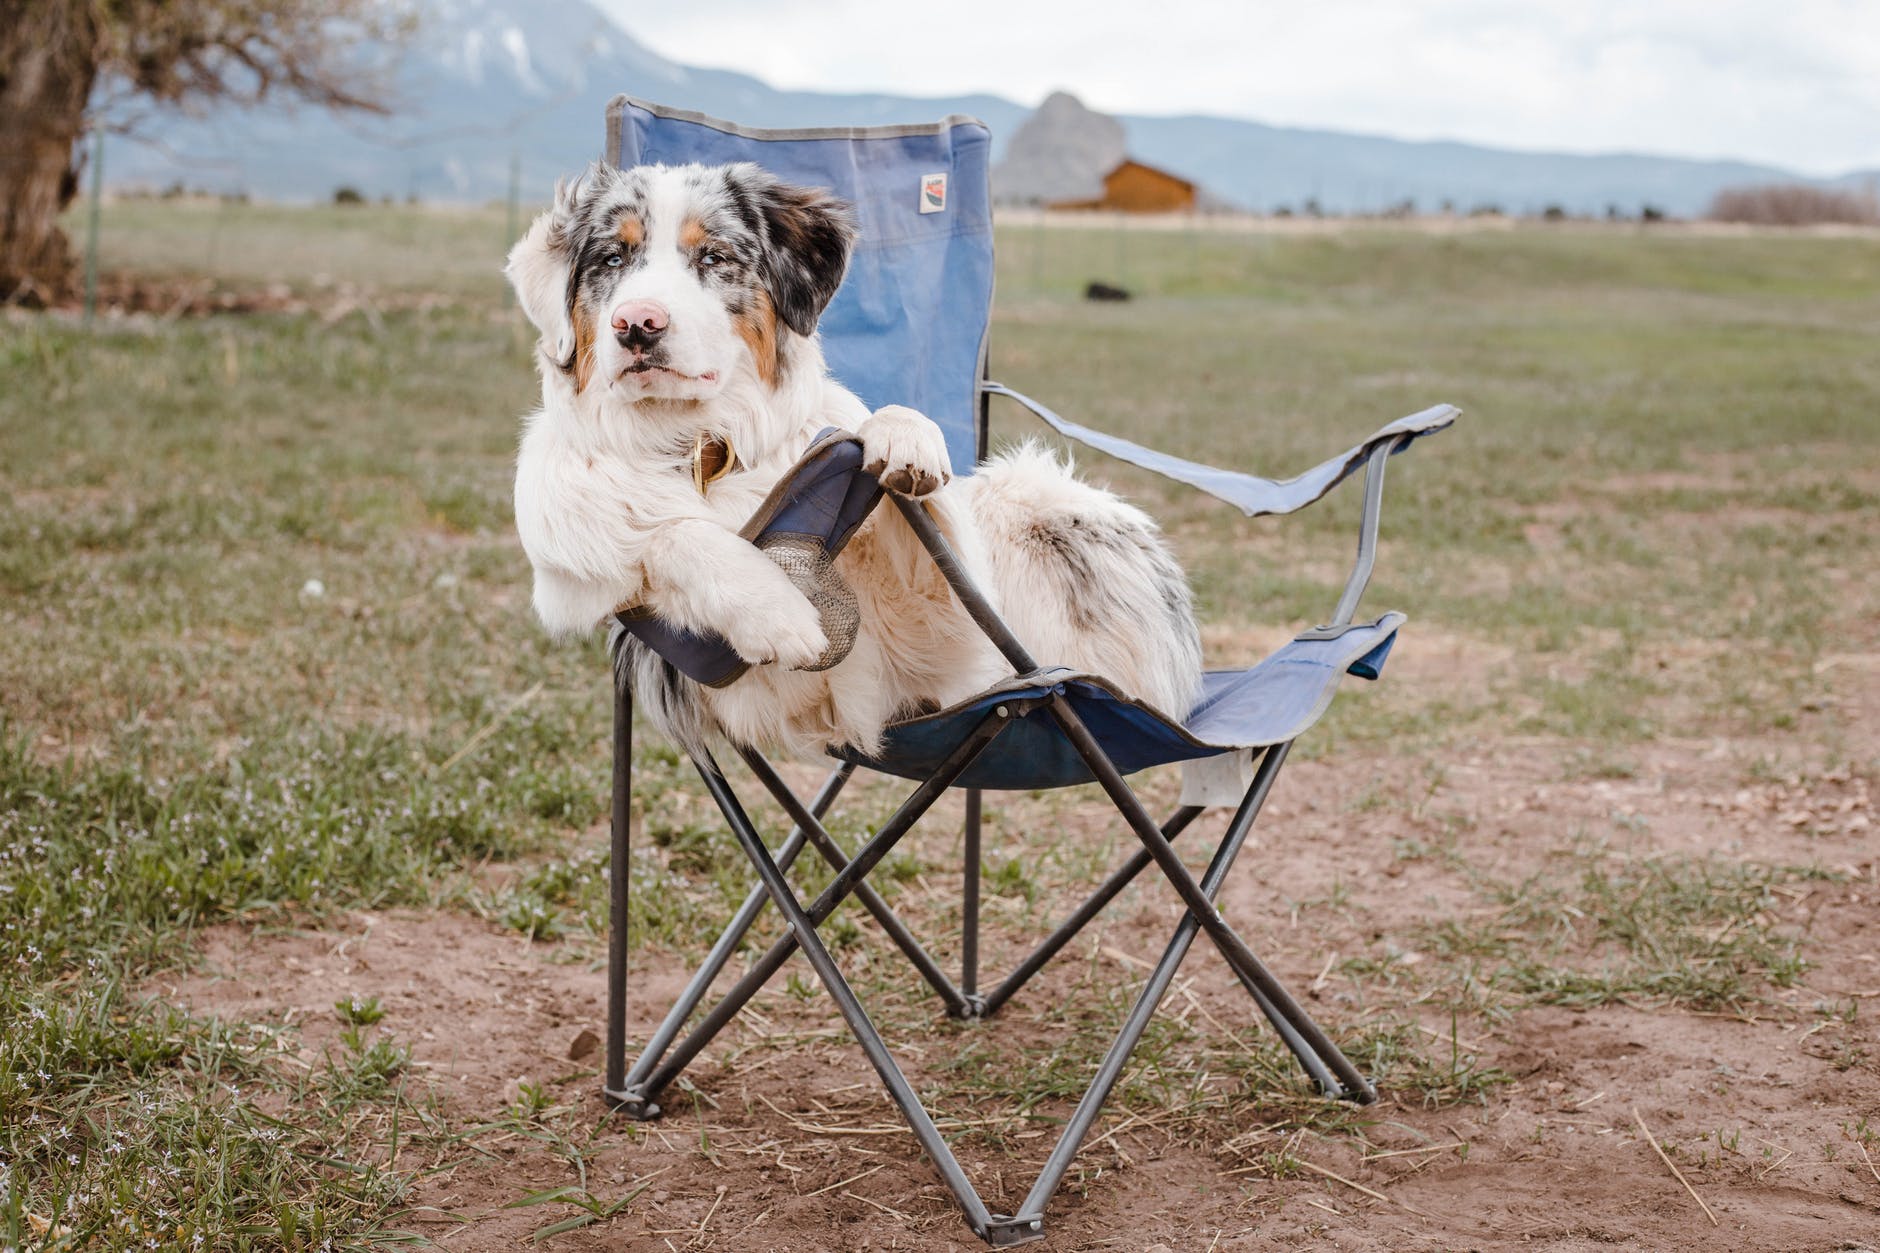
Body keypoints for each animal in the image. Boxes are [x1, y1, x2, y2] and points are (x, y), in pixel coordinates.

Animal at [503, 160, 1203, 756]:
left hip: (1034, 496)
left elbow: (895, 472)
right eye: (612, 258)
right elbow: (674, 534)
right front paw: (777, 610)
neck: (702, 448)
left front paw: (903, 436)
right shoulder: (577, 589)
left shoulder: (938, 655)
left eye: (714, 256)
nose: (637, 324)